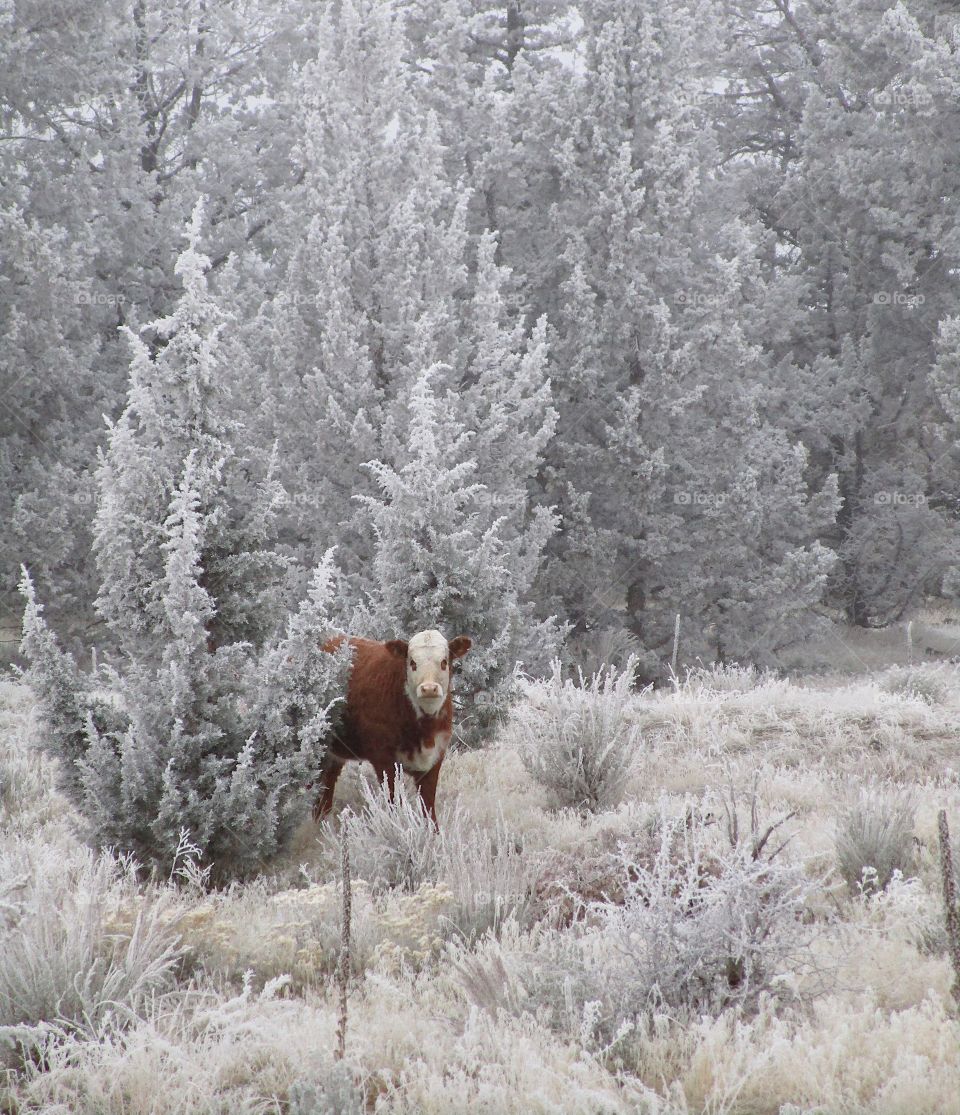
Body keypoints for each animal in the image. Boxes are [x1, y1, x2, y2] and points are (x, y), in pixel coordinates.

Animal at [313, 629, 472, 827]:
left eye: (444, 662)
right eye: (412, 662)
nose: (429, 688)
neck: (423, 730)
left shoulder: (435, 758)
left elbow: (428, 809)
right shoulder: (383, 759)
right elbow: (395, 803)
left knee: (326, 788)